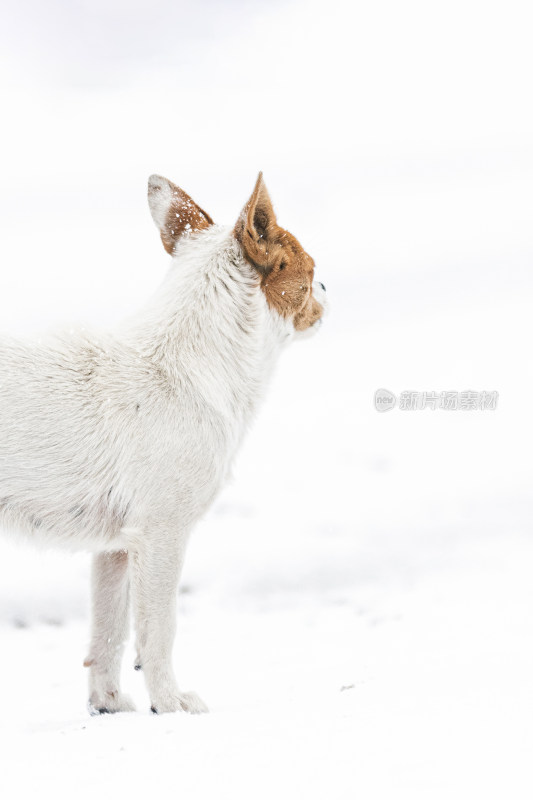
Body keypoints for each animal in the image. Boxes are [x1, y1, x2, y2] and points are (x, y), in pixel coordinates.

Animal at [0, 173, 324, 712]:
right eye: (313, 268)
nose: (326, 287)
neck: (187, 367)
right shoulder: (161, 537)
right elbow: (158, 631)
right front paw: (171, 705)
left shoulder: (114, 551)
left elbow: (107, 637)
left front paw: (109, 707)